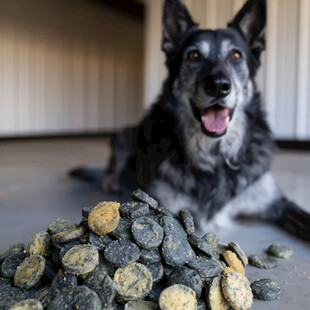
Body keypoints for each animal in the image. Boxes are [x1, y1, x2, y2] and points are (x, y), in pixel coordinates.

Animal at [71, 0, 310, 240]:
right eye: (194, 56)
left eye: (236, 56)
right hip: (122, 136)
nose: (218, 86)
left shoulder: (275, 201)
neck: (214, 154)